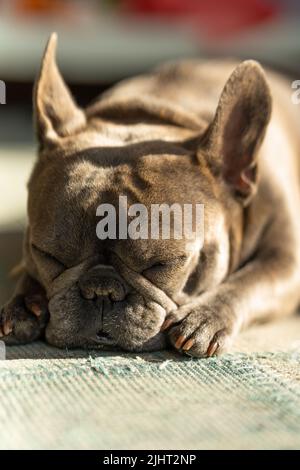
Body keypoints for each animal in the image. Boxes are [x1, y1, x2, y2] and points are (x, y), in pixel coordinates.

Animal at [0, 34, 300, 356]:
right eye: (49, 256)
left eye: (162, 265)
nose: (101, 289)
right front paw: (24, 304)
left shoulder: (287, 262)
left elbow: (248, 283)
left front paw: (204, 317)